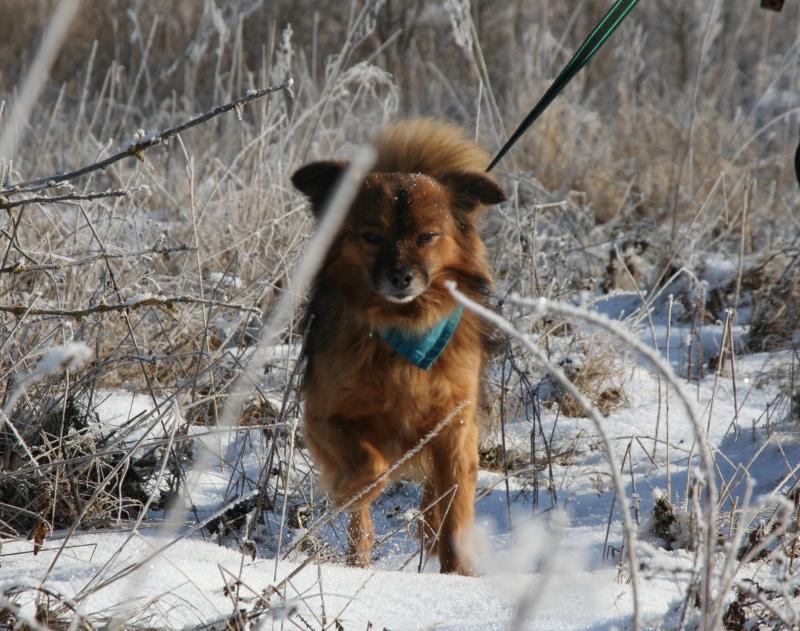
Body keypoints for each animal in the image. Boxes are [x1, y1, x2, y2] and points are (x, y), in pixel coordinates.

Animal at [291, 119, 505, 575]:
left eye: (428, 237)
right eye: (371, 236)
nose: (401, 277)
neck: (402, 326)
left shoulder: (456, 425)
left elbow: (455, 503)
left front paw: (459, 574)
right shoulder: (324, 416)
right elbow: (369, 469)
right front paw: (353, 488)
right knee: (363, 525)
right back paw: (360, 555)